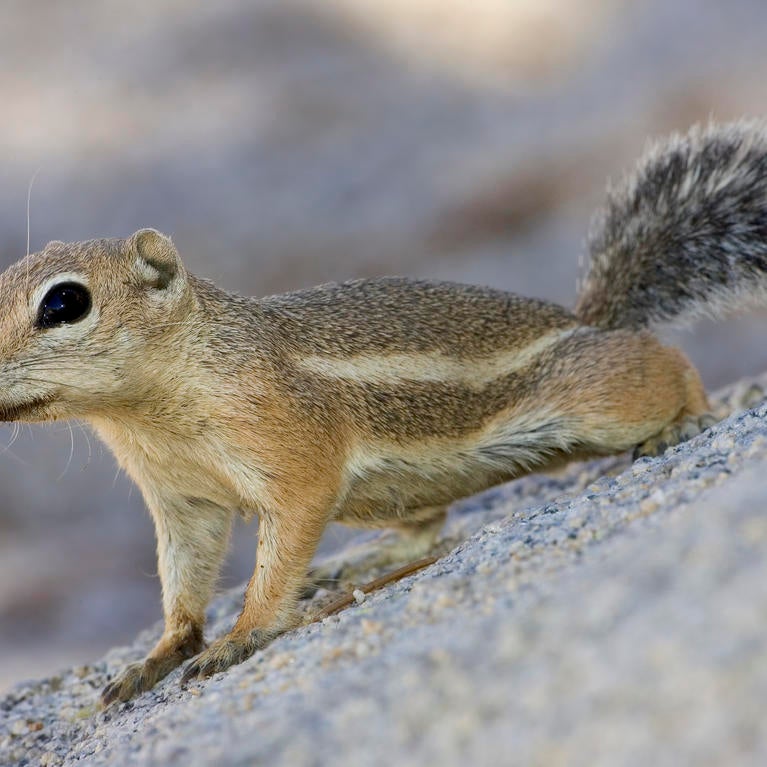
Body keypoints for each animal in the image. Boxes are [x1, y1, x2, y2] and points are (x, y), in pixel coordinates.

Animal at [1, 121, 766, 705]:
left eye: (65, 302)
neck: (147, 415)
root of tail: (587, 320)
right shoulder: (181, 501)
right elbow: (182, 583)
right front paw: (157, 655)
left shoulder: (290, 453)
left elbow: (276, 555)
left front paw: (242, 635)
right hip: (389, 491)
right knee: (425, 523)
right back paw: (358, 562)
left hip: (595, 398)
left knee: (661, 362)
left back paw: (689, 415)